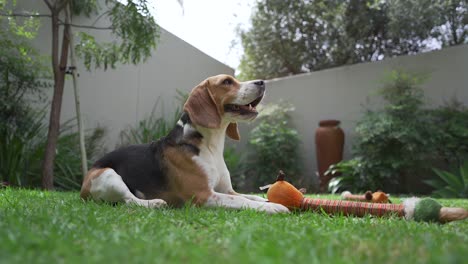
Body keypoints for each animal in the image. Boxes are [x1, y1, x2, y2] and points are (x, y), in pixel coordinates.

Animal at [81, 73, 288, 212]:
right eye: (227, 82)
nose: (262, 82)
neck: (211, 146)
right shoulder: (204, 195)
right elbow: (243, 201)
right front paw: (274, 207)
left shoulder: (228, 190)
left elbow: (250, 195)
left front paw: (268, 201)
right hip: (108, 175)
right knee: (129, 200)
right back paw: (153, 203)